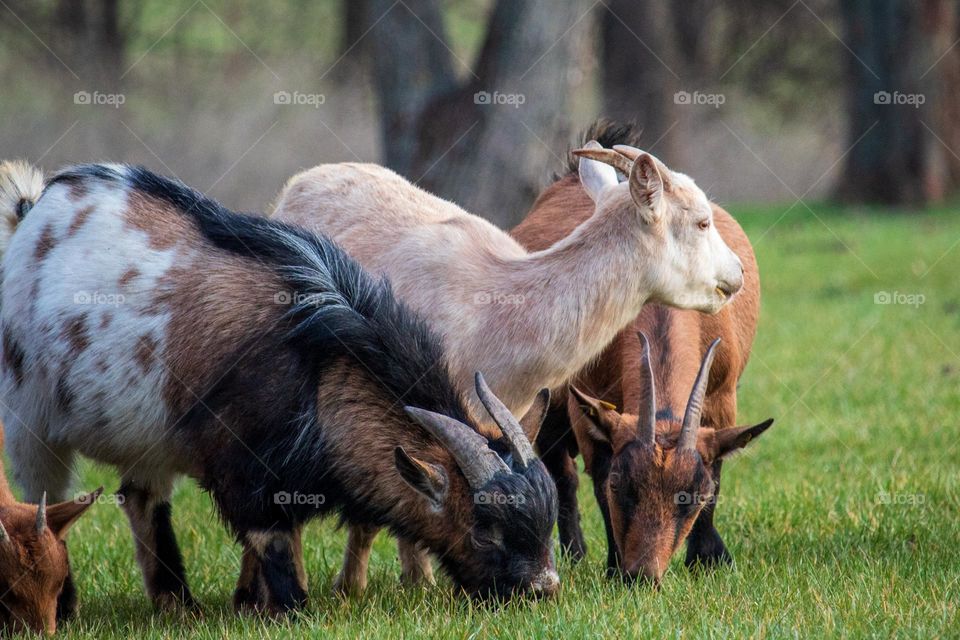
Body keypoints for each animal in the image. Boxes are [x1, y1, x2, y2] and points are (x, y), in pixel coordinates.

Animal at [0, 162, 559, 614]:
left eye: (545, 521)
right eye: (484, 529)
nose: (543, 589)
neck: (318, 368)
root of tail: (32, 215)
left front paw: (248, 601)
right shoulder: (244, 467)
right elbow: (272, 538)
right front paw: (290, 607)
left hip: (144, 434)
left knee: (142, 499)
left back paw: (178, 604)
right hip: (30, 422)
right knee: (46, 500)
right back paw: (70, 606)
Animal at [270, 132, 744, 592]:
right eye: (702, 221)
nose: (737, 274)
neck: (502, 308)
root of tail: (303, 180)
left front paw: (422, 581)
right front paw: (367, 587)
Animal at [511, 121, 770, 580]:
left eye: (690, 495)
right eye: (623, 486)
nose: (643, 575)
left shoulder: (722, 398)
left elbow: (718, 467)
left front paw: (708, 557)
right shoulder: (587, 406)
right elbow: (594, 477)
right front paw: (614, 564)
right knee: (562, 473)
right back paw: (575, 553)